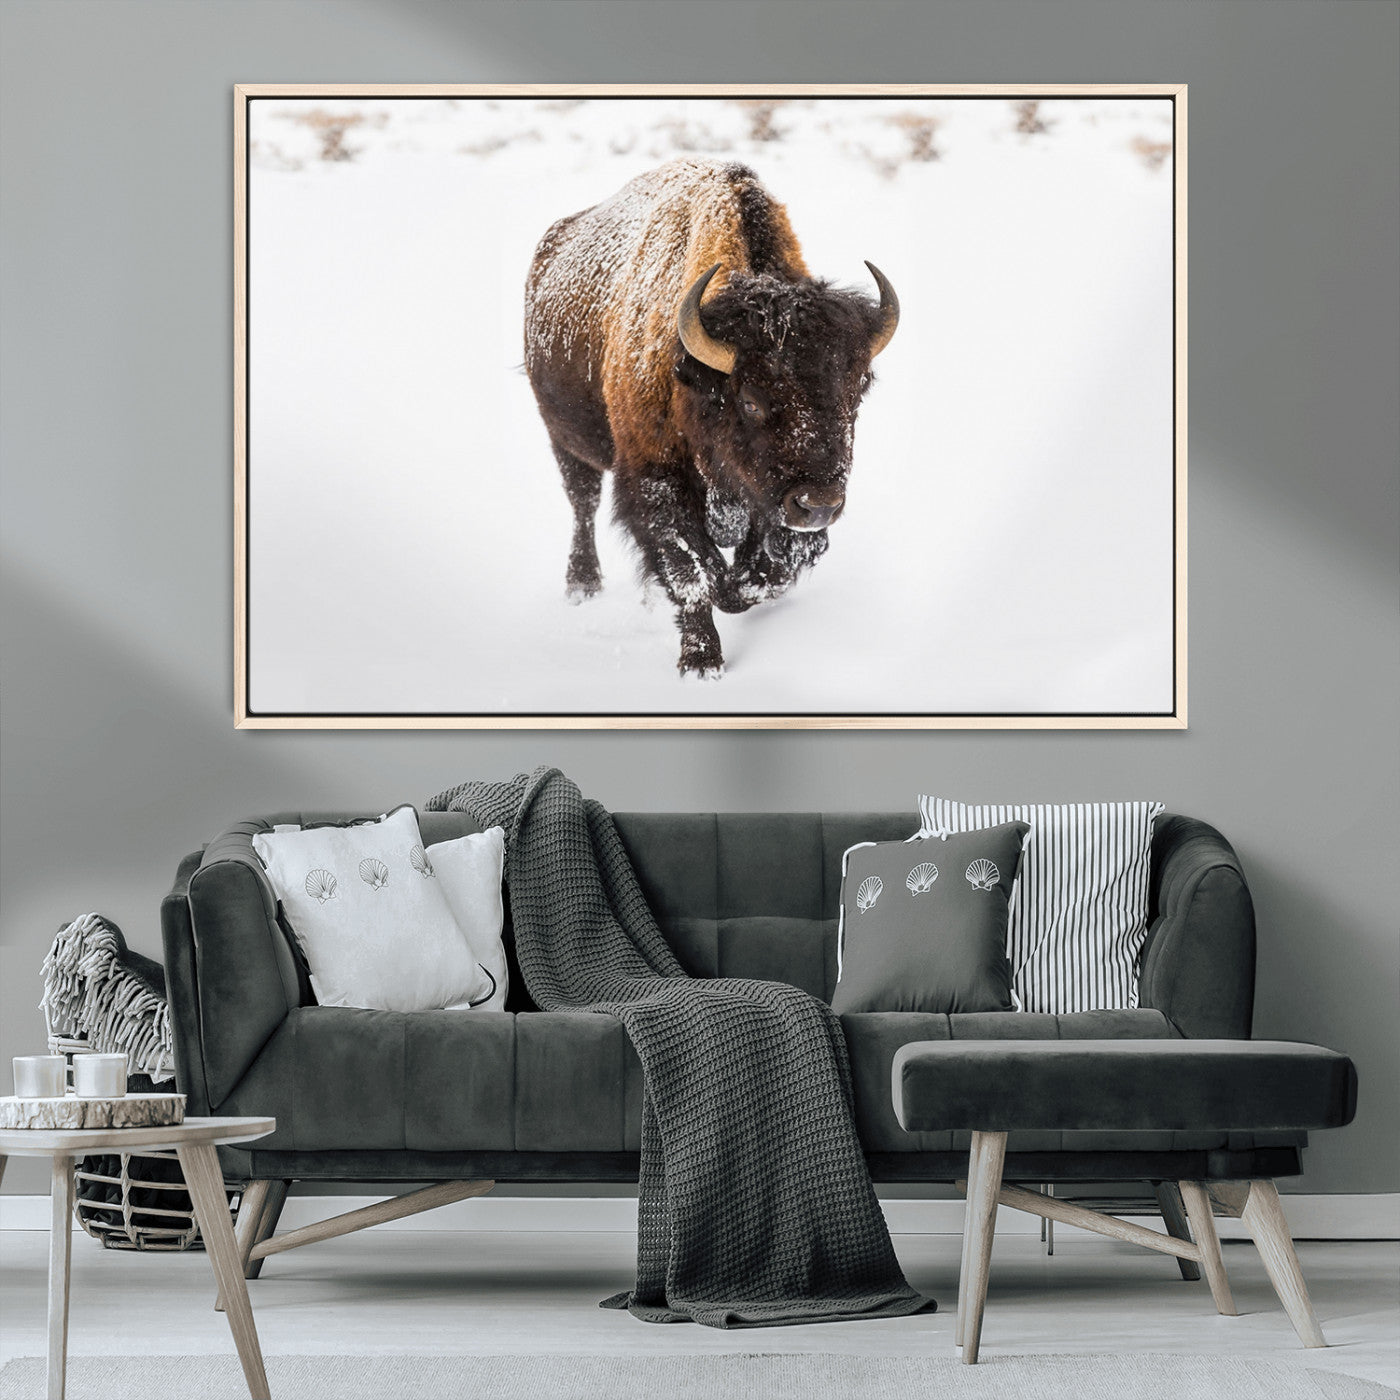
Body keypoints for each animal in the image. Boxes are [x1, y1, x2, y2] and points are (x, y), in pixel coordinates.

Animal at [524, 157, 898, 678]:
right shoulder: (656, 479)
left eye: (857, 392)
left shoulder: (769, 502)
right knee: (583, 503)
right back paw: (582, 586)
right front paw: (701, 662)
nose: (819, 505)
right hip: (565, 438)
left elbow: (765, 573)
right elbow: (693, 572)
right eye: (751, 400)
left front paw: (737, 591)